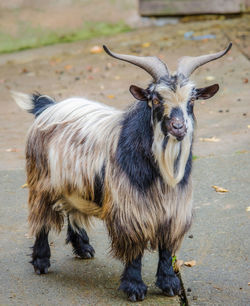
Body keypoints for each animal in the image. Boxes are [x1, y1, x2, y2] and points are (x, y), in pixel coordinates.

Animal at [11, 42, 231, 302]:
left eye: (193, 100)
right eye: (155, 99)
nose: (178, 127)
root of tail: (47, 107)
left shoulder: (173, 209)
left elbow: (166, 248)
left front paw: (169, 284)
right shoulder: (131, 208)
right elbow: (134, 249)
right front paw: (134, 287)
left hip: (74, 183)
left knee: (71, 209)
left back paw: (83, 247)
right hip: (41, 179)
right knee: (42, 217)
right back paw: (41, 261)